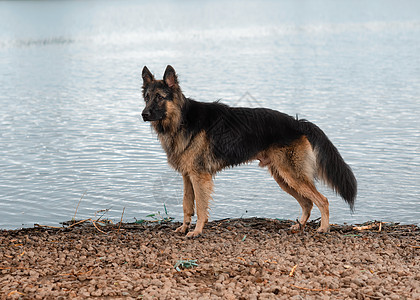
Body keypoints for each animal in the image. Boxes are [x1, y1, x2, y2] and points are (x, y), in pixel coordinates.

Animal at [143, 65, 356, 237]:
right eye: (146, 97)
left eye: (159, 97)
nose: (144, 114)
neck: (182, 119)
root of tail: (298, 123)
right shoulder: (188, 177)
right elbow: (187, 204)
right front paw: (184, 227)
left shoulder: (199, 177)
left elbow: (201, 207)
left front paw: (196, 231)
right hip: (284, 178)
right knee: (308, 203)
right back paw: (300, 225)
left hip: (292, 176)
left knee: (323, 200)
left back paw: (324, 228)